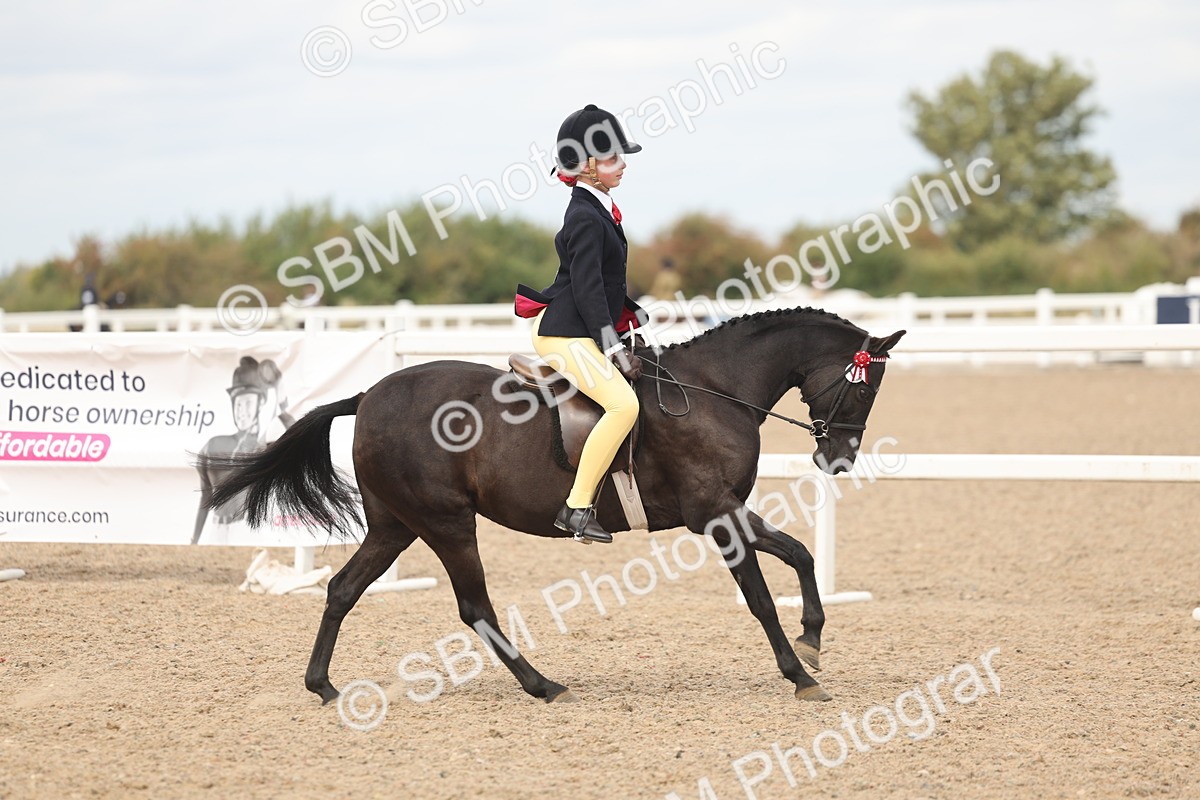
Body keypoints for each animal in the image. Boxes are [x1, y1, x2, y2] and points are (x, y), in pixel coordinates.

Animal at [206, 307, 905, 704]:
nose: (838, 459)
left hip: (396, 526)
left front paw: (812, 639)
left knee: (343, 589)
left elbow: (800, 554)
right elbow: (760, 596)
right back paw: (542, 685)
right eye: (863, 386)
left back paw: (322, 685)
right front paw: (800, 674)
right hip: (446, 523)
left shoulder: (728, 510)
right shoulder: (714, 513)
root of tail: (369, 395)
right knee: (473, 606)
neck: (712, 392)